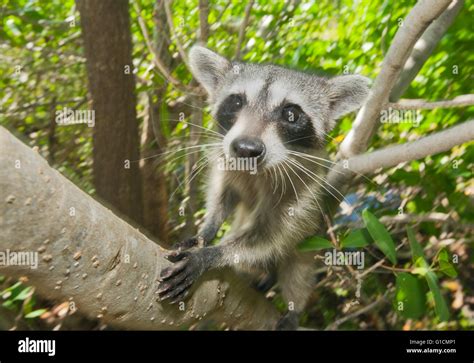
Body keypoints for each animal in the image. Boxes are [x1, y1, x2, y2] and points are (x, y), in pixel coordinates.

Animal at [156, 44, 370, 330]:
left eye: (291, 114)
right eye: (236, 101)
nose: (246, 148)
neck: (254, 172)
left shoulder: (300, 193)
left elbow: (269, 237)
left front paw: (211, 254)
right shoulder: (227, 163)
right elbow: (223, 196)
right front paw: (206, 232)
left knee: (298, 269)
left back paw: (293, 306)